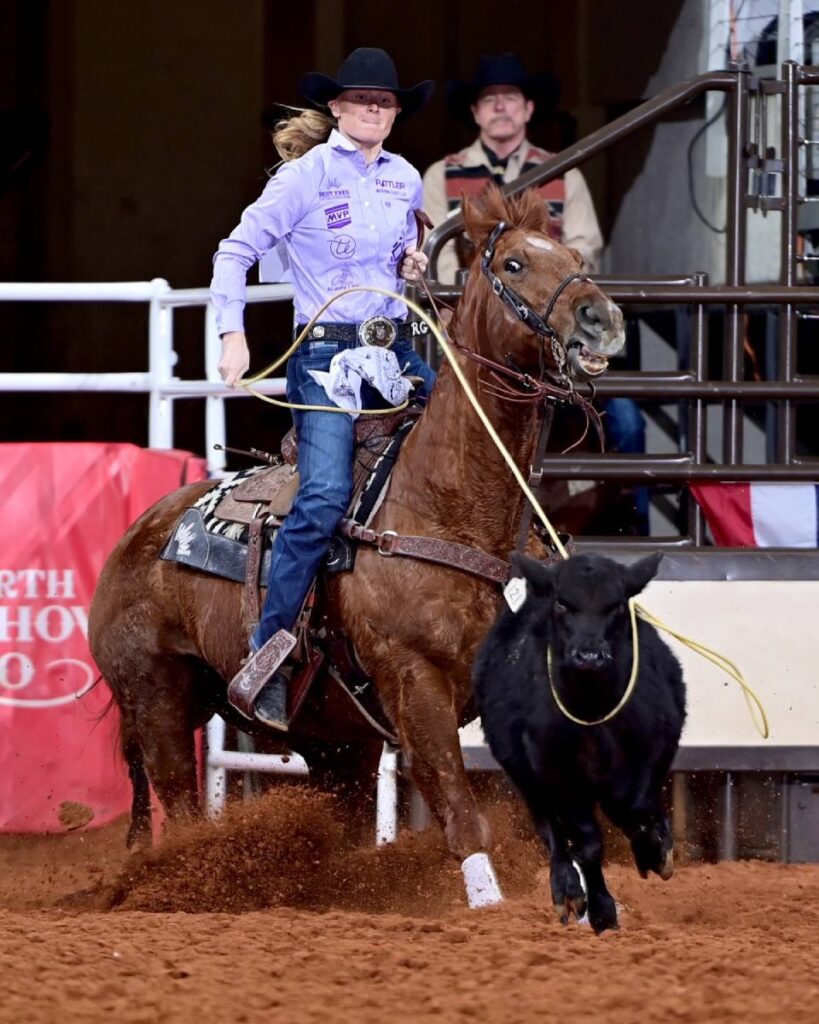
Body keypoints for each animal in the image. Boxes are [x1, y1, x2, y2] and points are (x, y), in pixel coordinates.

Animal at [89, 186, 622, 905]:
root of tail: (134, 539)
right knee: (182, 807)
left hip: (331, 742)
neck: (447, 504)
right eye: (513, 264)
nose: (601, 318)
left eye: (574, 258)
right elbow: (461, 812)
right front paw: (488, 902)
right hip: (158, 702)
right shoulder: (413, 681)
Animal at [472, 557, 683, 933]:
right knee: (552, 829)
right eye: (562, 604)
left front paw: (655, 850)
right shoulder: (556, 769)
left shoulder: (655, 745)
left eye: (616, 605)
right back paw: (567, 890)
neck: (592, 707)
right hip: (527, 777)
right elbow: (586, 840)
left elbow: (633, 806)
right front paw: (602, 912)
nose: (589, 656)